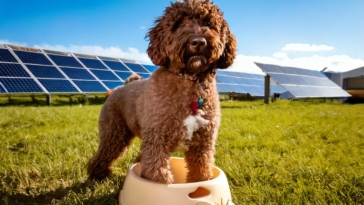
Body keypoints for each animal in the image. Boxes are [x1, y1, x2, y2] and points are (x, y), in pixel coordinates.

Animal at [88, 0, 236, 183]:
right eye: (179, 24)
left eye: (208, 23)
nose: (198, 42)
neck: (189, 80)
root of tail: (118, 89)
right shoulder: (157, 141)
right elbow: (158, 174)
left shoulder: (202, 145)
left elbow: (201, 173)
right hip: (114, 132)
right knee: (104, 153)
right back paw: (98, 175)